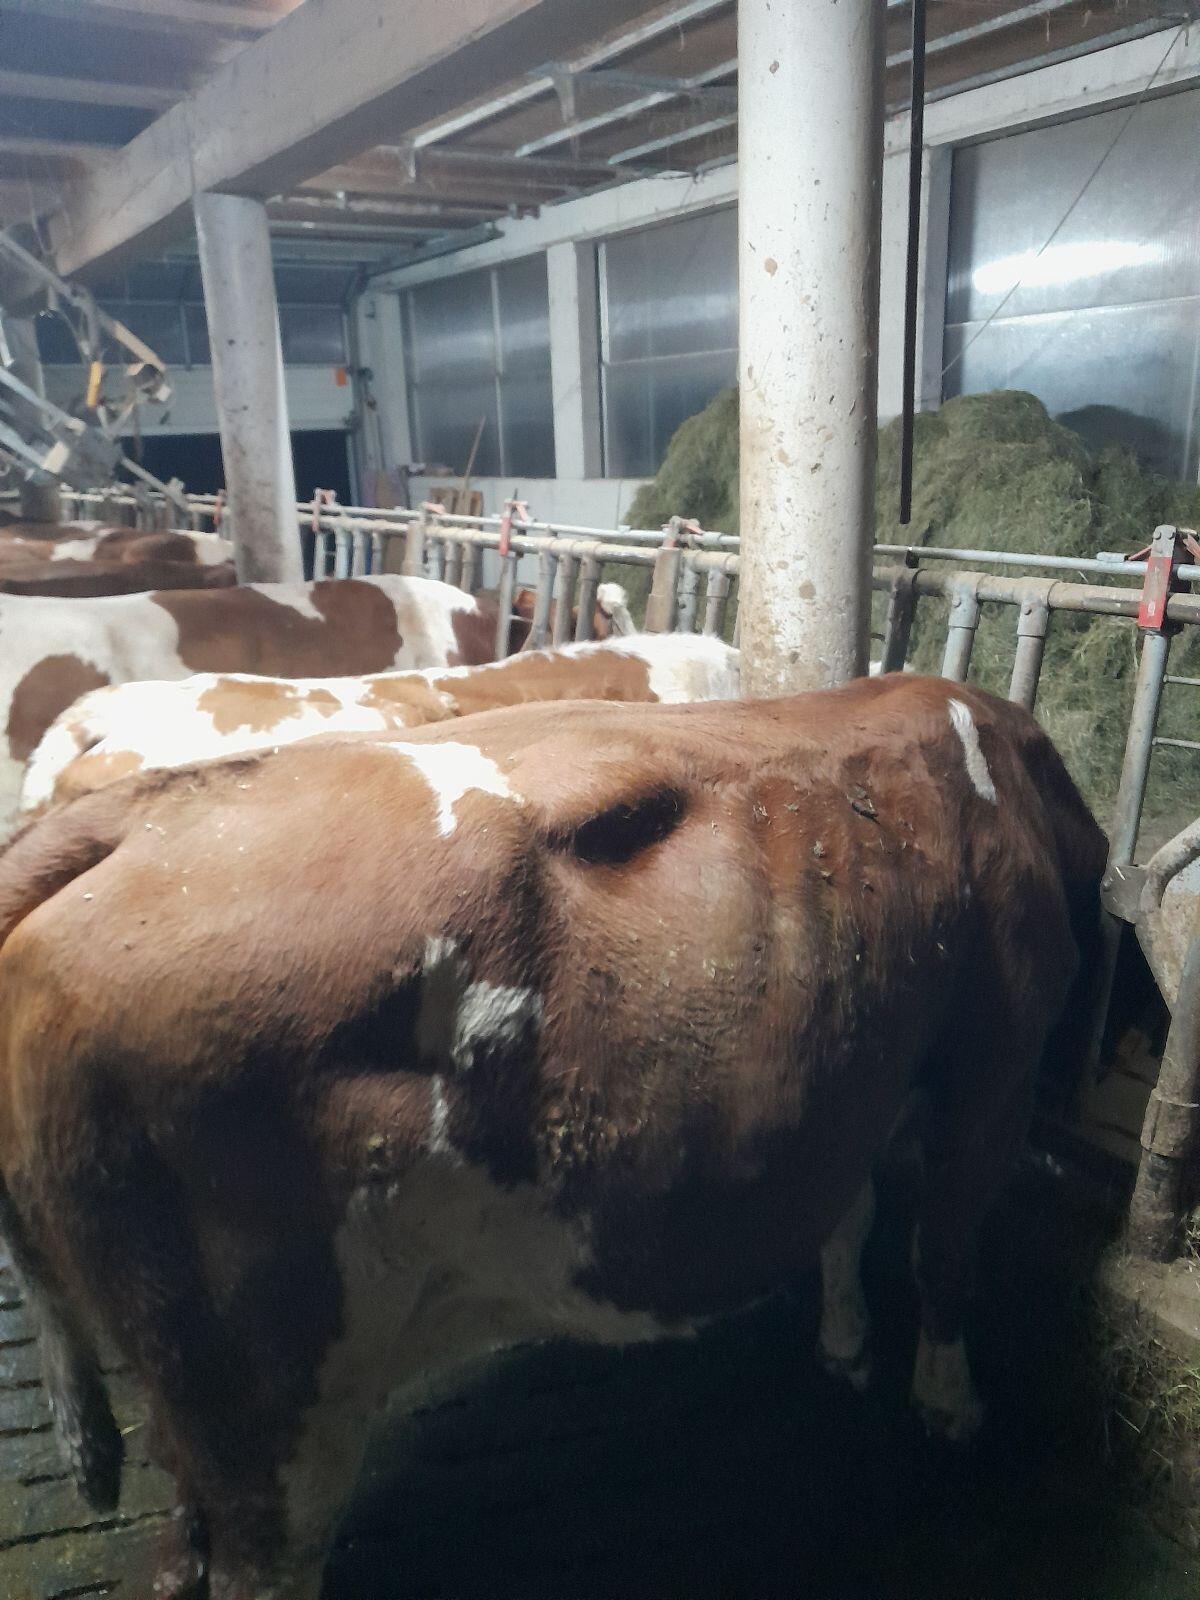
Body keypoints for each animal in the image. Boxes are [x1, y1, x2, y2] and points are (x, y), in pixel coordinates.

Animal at [0, 675, 1105, 1600]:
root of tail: (126, 816)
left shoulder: (861, 1072)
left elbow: (852, 1210)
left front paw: (845, 1342)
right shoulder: (995, 1073)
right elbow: (945, 1250)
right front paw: (950, 1404)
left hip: (193, 1372)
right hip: (273, 1389)